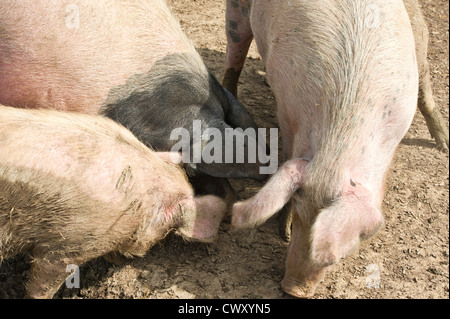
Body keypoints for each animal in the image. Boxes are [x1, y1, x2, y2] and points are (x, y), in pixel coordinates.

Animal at [223, 0, 428, 298]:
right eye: (298, 215)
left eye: (336, 258)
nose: (293, 289)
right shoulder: (286, 113)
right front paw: (283, 229)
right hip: (236, 14)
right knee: (233, 56)